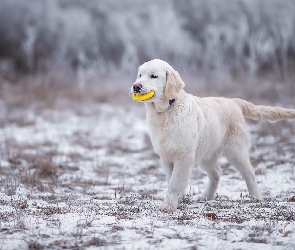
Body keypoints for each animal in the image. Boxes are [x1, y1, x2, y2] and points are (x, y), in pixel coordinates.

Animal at [131, 59, 295, 212]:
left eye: (153, 76)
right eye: (140, 75)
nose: (136, 86)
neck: (165, 112)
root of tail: (234, 101)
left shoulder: (184, 156)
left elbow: (175, 183)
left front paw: (168, 205)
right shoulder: (166, 156)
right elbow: (170, 179)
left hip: (235, 150)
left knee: (249, 171)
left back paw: (256, 197)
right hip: (207, 153)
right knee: (216, 172)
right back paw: (206, 196)